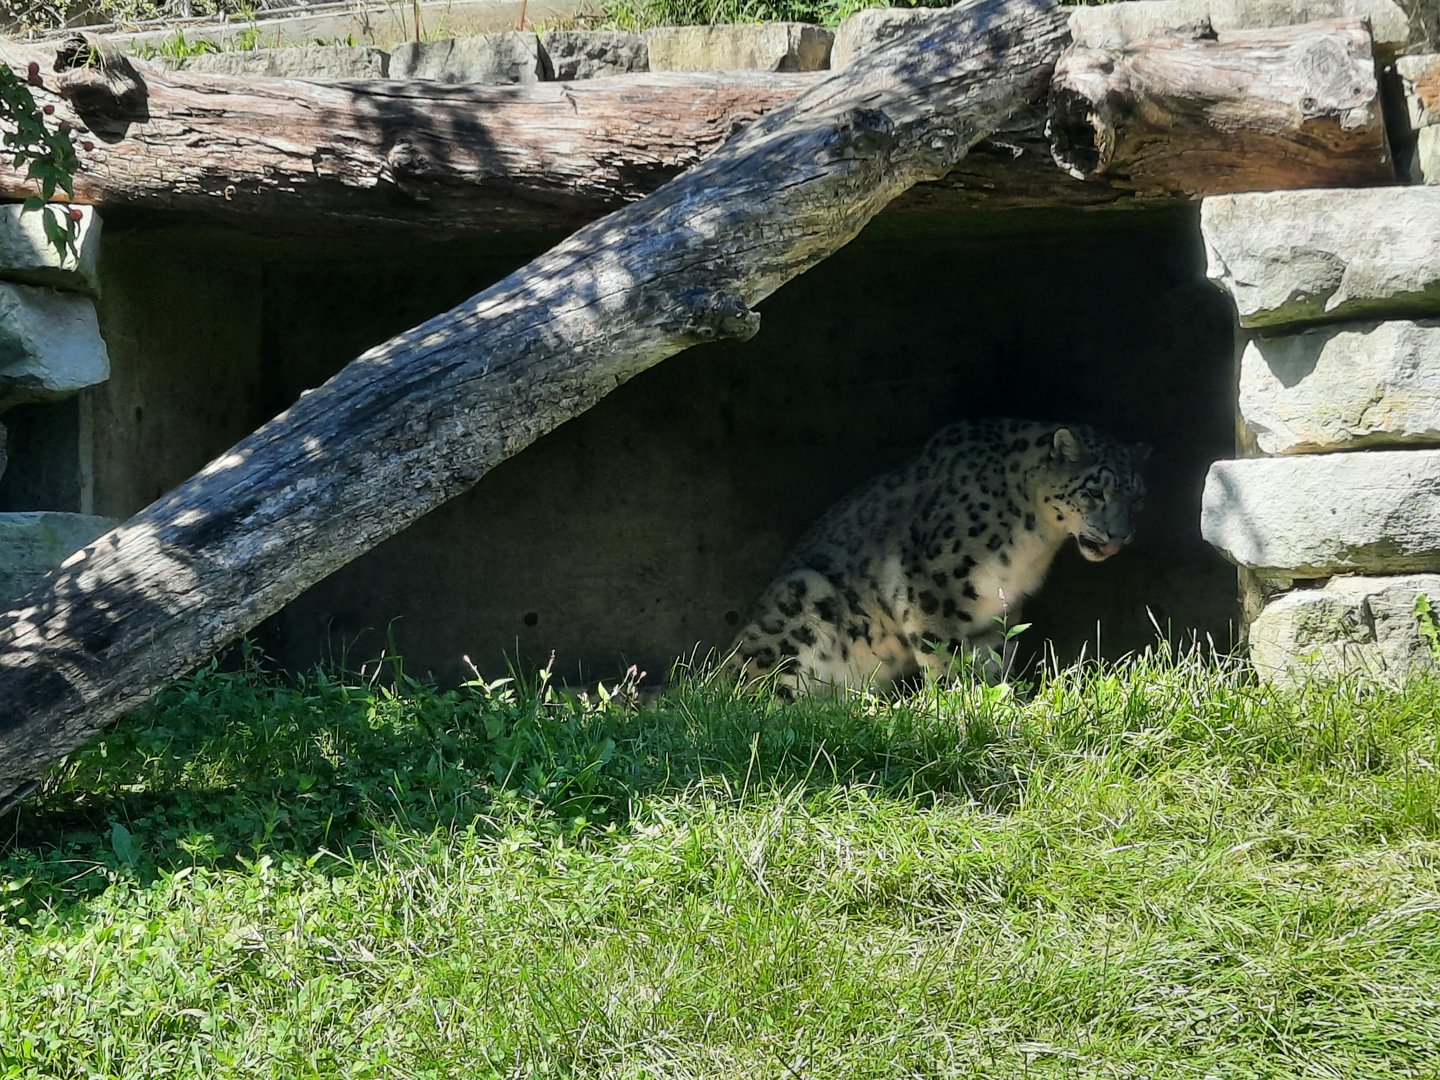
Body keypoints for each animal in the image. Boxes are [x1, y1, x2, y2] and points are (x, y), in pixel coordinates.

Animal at [726, 418, 1150, 696]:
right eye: (1093, 492)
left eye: (1136, 497)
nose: (1119, 537)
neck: (1033, 543)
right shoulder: (933, 585)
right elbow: (942, 650)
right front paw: (951, 699)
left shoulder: (1000, 609)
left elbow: (992, 658)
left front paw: (994, 698)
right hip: (802, 600)